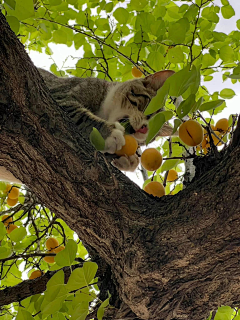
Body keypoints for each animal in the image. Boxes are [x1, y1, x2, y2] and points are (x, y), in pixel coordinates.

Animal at [0, 68, 176, 182]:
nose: (144, 129)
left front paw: (127, 159)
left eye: (153, 136)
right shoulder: (60, 95)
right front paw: (109, 133)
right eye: (148, 108)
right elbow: (81, 116)